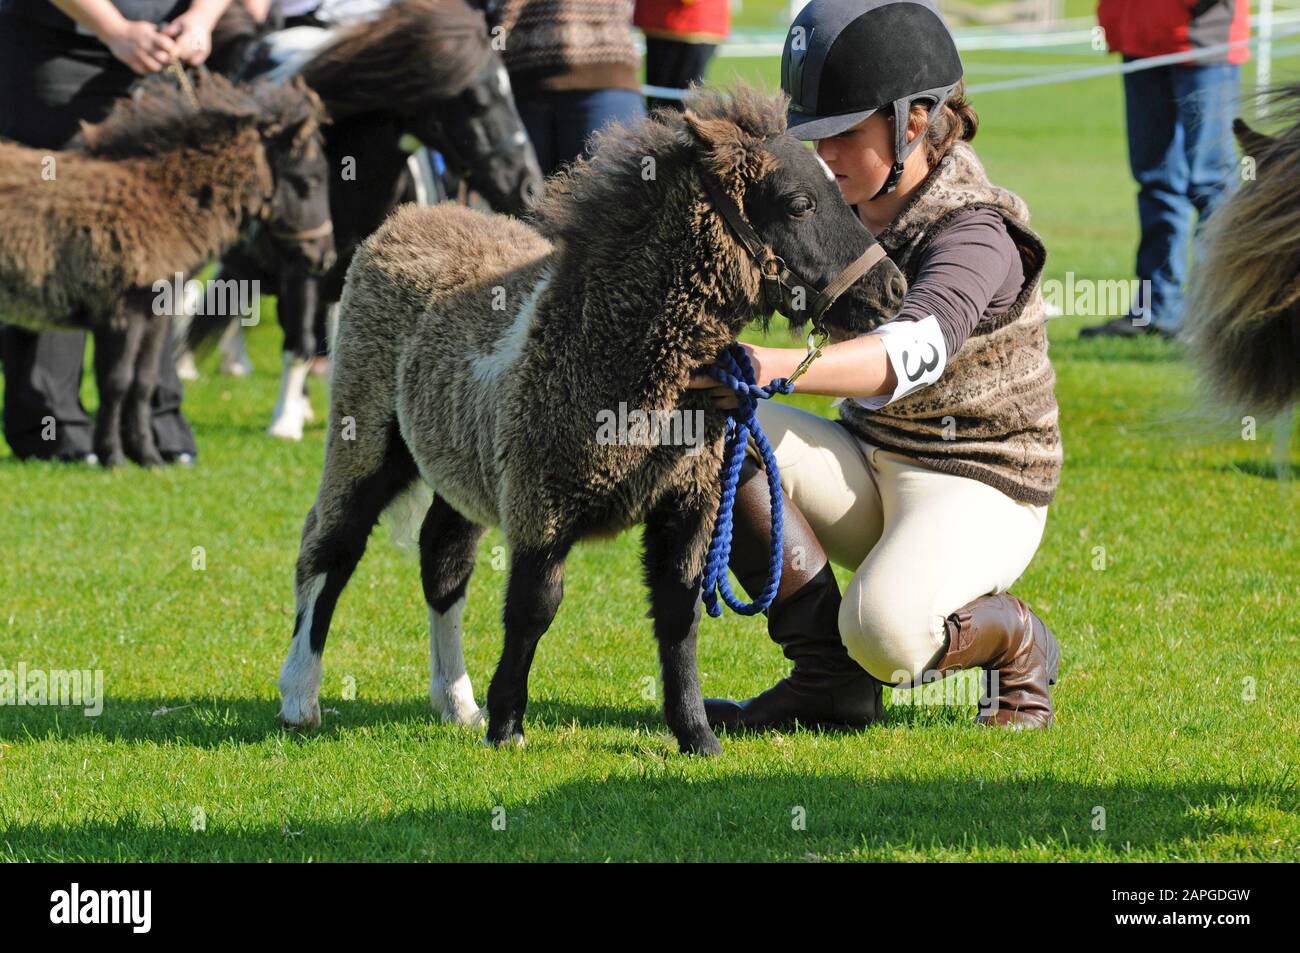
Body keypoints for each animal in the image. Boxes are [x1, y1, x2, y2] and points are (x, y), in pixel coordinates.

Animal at [276, 85, 908, 755]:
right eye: (799, 203)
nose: (892, 290)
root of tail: (406, 220)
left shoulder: (690, 498)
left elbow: (679, 611)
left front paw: (697, 737)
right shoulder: (541, 498)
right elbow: (534, 607)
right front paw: (508, 728)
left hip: (460, 454)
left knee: (443, 558)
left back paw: (456, 703)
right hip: (364, 425)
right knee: (330, 544)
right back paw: (300, 697)